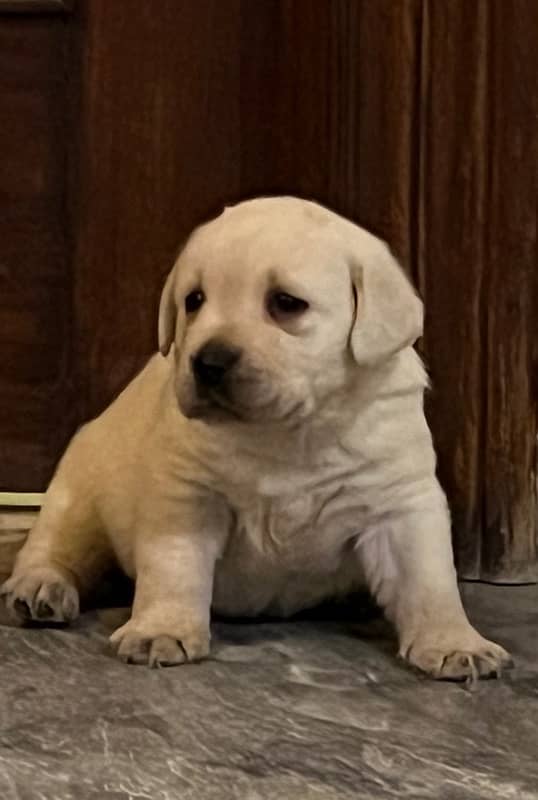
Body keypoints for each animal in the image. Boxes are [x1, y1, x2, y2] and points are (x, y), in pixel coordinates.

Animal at [1, 197, 510, 680]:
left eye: (286, 303)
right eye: (194, 300)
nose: (207, 363)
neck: (286, 431)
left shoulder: (400, 500)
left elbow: (429, 581)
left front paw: (454, 643)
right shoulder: (187, 497)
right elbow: (174, 568)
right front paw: (161, 630)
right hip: (80, 490)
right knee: (55, 546)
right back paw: (41, 589)